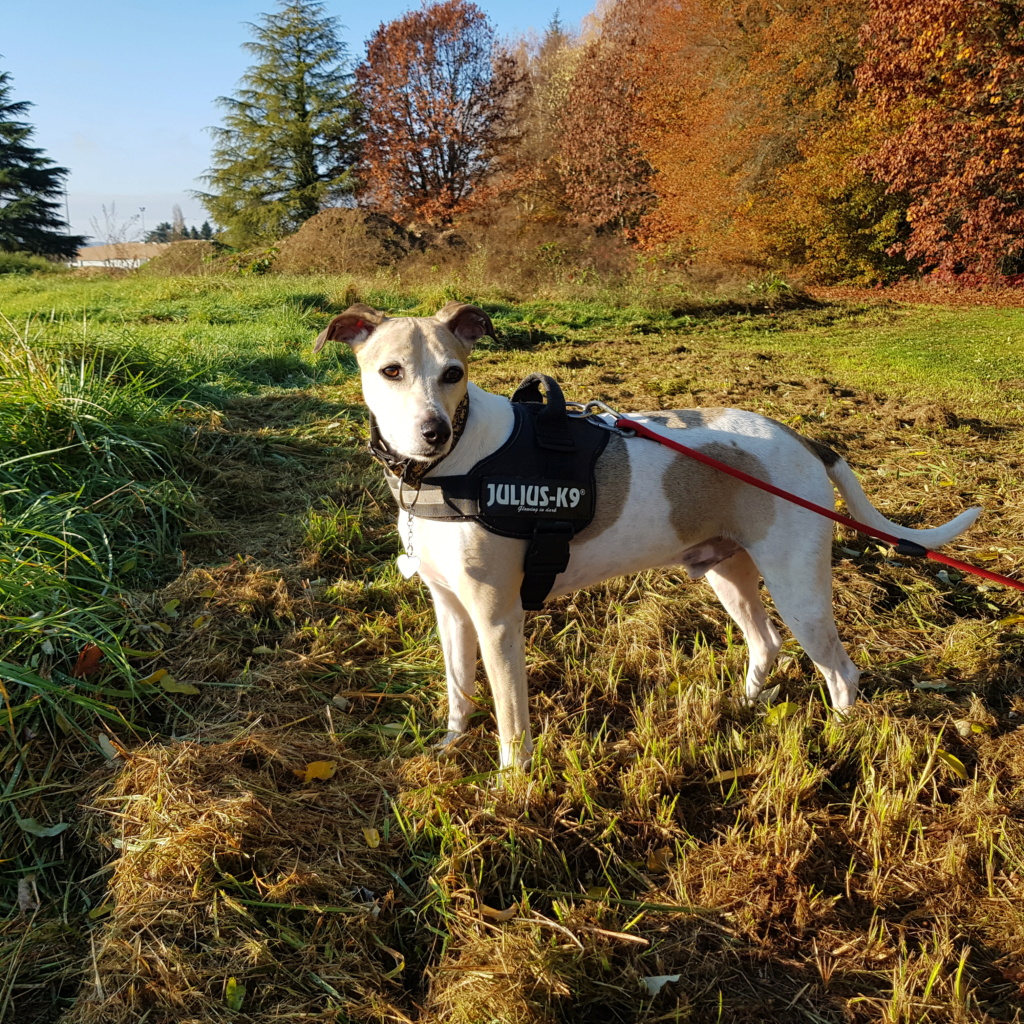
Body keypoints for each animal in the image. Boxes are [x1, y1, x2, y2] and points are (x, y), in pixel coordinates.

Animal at [313, 301, 983, 770]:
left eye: (454, 373)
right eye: (391, 371)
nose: (433, 431)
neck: (448, 469)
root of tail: (804, 439)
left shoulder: (498, 617)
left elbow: (511, 719)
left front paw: (512, 787)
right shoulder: (450, 608)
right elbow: (459, 692)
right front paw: (451, 747)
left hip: (800, 591)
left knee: (842, 673)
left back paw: (843, 740)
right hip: (728, 574)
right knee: (766, 645)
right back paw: (743, 709)